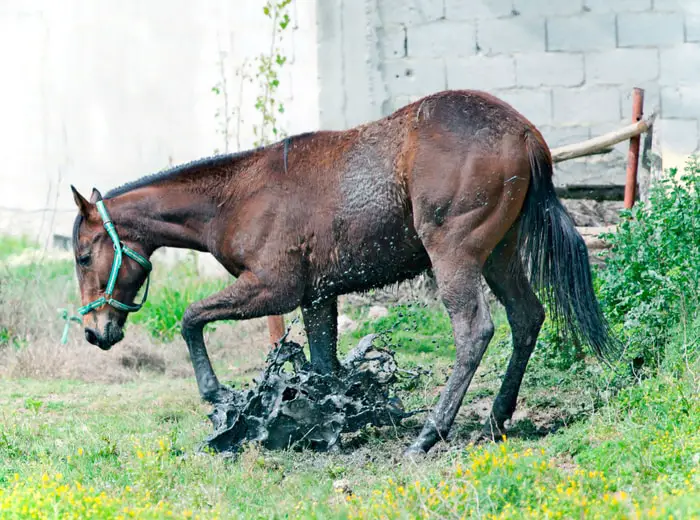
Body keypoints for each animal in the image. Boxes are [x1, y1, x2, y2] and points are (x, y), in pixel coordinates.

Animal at [71, 90, 616, 456]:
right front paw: (328, 421)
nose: (95, 332)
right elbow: (323, 364)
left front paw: (219, 395)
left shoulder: (274, 289)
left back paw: (428, 435)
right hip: (500, 254)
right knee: (527, 318)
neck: (236, 197)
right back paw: (496, 421)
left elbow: (191, 317)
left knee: (475, 331)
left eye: (82, 255)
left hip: (456, 255)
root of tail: (525, 133)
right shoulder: (317, 298)